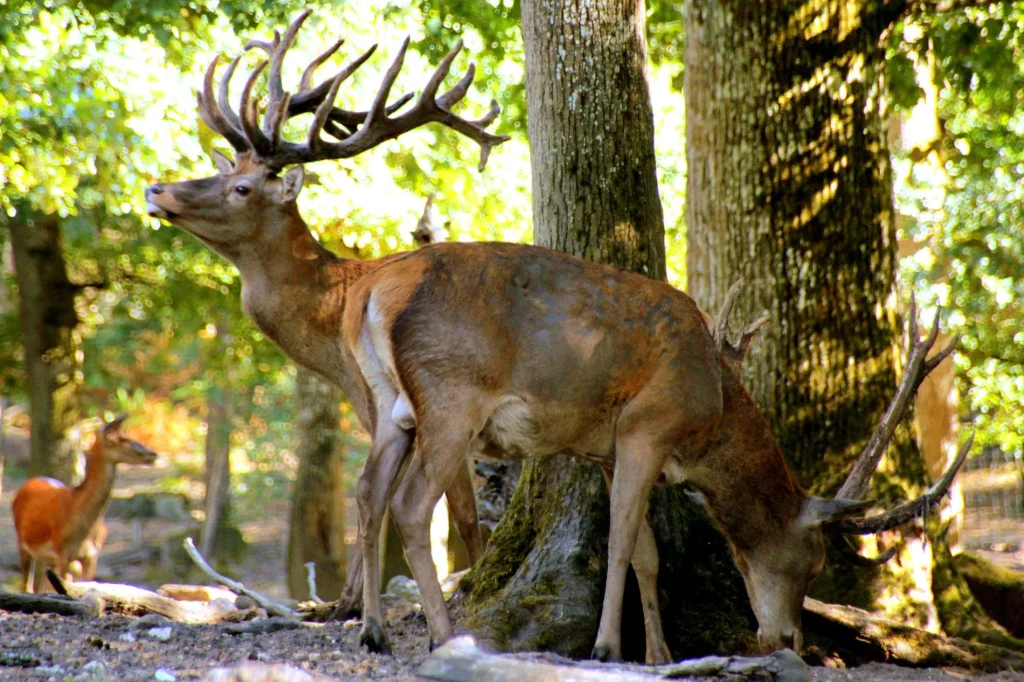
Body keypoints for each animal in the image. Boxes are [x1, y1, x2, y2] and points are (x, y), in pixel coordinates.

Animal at [12, 411, 156, 593]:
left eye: (125, 434)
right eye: (122, 438)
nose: (153, 454)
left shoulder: (92, 556)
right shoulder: (63, 552)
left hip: (48, 558)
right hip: (22, 542)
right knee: (27, 586)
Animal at [142, 10, 509, 614]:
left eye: (242, 187)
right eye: (225, 167)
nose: (156, 189)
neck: (331, 321)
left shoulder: (378, 399)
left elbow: (446, 509)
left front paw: (355, 602)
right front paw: (356, 602)